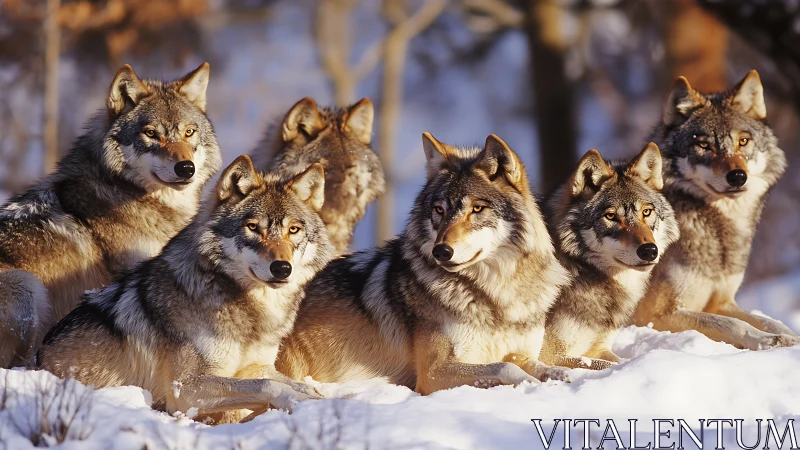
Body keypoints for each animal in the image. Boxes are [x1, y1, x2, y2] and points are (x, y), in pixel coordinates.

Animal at [38, 156, 334, 422]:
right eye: (252, 227)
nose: (282, 268)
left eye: (293, 230)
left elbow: (301, 383)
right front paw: (299, 402)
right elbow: (270, 386)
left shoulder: (256, 367)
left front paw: (325, 400)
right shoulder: (184, 389)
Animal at [277, 133, 571, 394]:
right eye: (439, 210)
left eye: (477, 209)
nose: (441, 251)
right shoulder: (433, 372)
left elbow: (540, 365)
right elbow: (504, 368)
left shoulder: (522, 351)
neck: (496, 295)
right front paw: (530, 383)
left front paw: (559, 375)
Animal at [539, 144, 679, 370]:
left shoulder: (600, 348)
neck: (581, 270)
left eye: (646, 212)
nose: (649, 250)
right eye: (611, 216)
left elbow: (621, 360)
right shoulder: (548, 357)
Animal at [632, 70, 799, 350]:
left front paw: (789, 337)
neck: (719, 232)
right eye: (704, 146)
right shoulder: (655, 315)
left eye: (743, 141)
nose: (737, 177)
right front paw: (769, 341)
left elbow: (768, 321)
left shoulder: (722, 301)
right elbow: (734, 324)